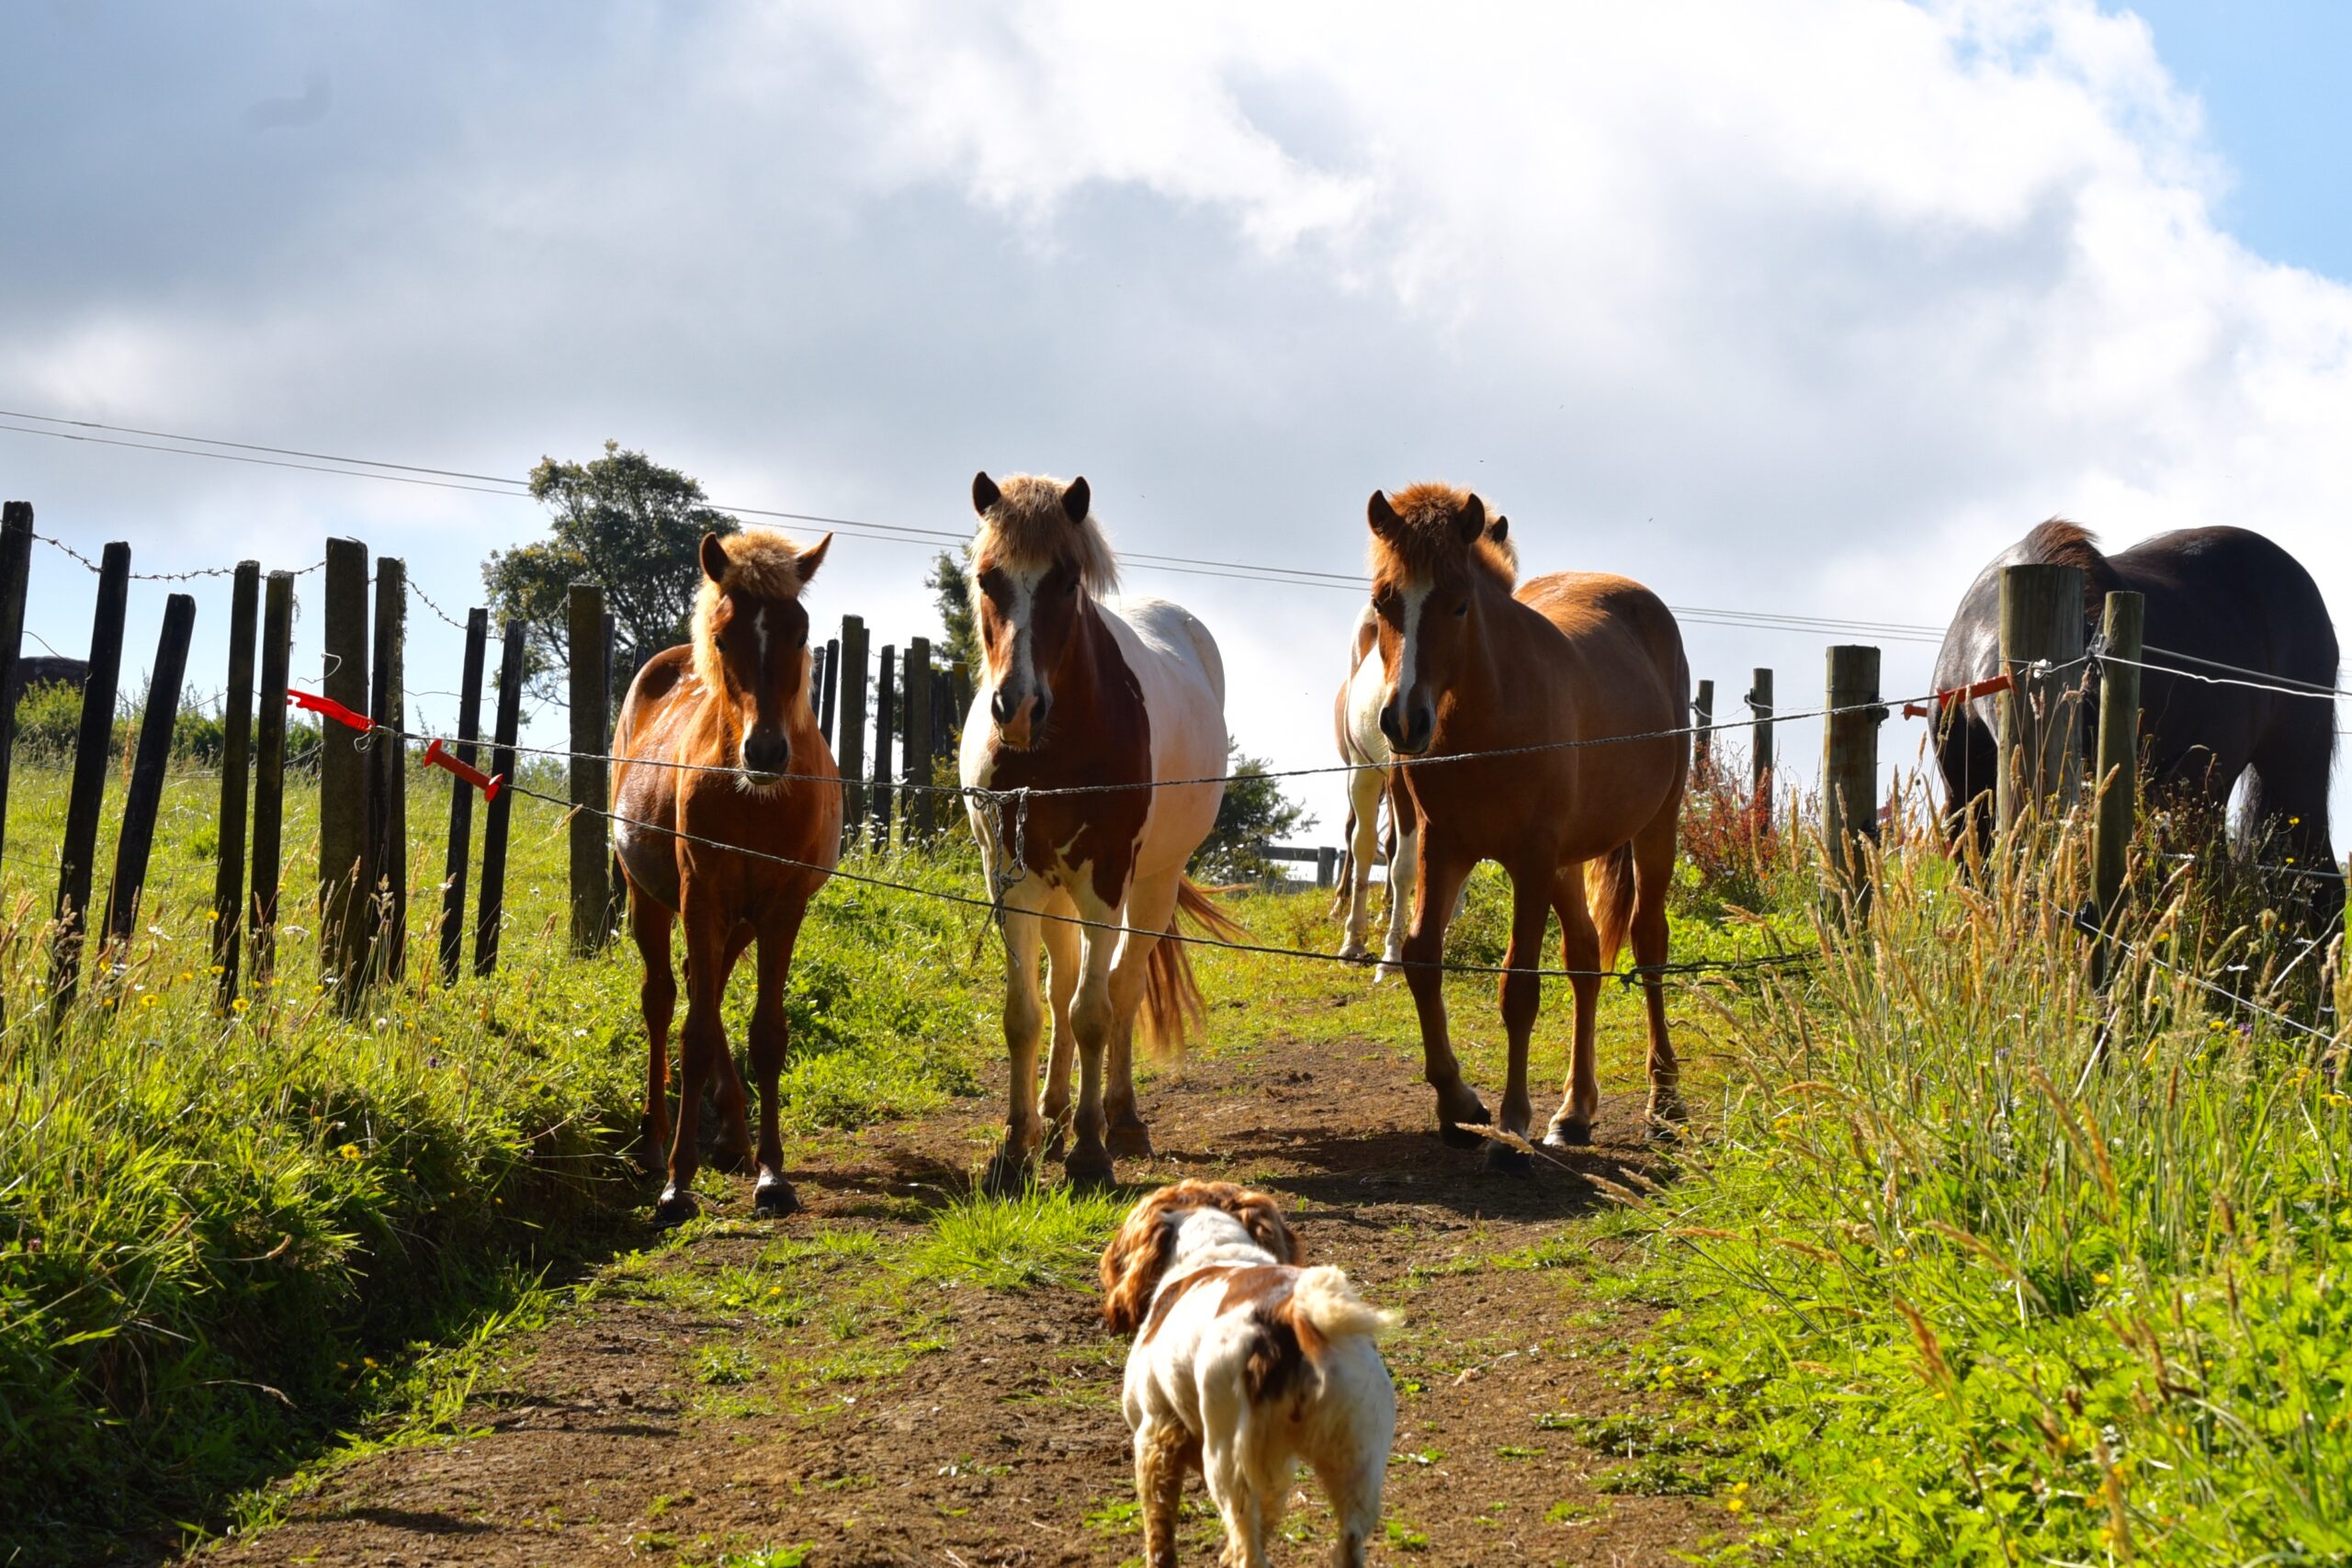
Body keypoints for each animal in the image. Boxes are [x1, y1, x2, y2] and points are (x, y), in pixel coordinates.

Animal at [611, 533, 842, 1232]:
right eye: (723, 635)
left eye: (800, 631)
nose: (764, 752)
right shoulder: (700, 894)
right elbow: (693, 1032)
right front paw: (677, 1184)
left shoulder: (782, 907)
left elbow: (765, 1034)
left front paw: (772, 1174)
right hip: (652, 901)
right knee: (664, 999)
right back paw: (656, 1141)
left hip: (739, 920)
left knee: (702, 989)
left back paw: (735, 1134)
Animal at [959, 472, 1250, 1194]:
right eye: (986, 578)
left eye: (1067, 582)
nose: (1017, 707)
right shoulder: (1012, 882)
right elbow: (1026, 1013)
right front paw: (1016, 1146)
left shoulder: (1105, 879)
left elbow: (1094, 1011)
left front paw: (1090, 1152)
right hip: (1056, 892)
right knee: (1063, 987)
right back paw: (1054, 1113)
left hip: (1150, 884)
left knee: (1121, 987)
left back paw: (1118, 1119)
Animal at [1101, 1184, 1392, 1561]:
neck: (1214, 1249)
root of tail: (1289, 1313)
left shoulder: (1154, 1432)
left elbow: (1159, 1534)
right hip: (1356, 1463)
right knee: (1347, 1543)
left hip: (1231, 1462)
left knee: (1247, 1549)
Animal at [1336, 514, 1514, 973]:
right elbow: (1402, 866)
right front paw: (1394, 953)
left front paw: (1444, 934)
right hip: (1365, 774)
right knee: (1364, 845)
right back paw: (1354, 938)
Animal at [1363, 484, 1693, 1170]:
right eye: (1384, 600)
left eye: (1459, 603)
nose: (1404, 721)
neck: (1489, 716)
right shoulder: (1444, 847)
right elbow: (1422, 960)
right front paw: (1459, 1106)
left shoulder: (1531, 858)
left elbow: (1518, 988)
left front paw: (1512, 1128)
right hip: (1568, 861)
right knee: (1586, 957)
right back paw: (1574, 1113)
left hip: (1653, 831)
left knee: (1648, 945)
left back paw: (1665, 1104)